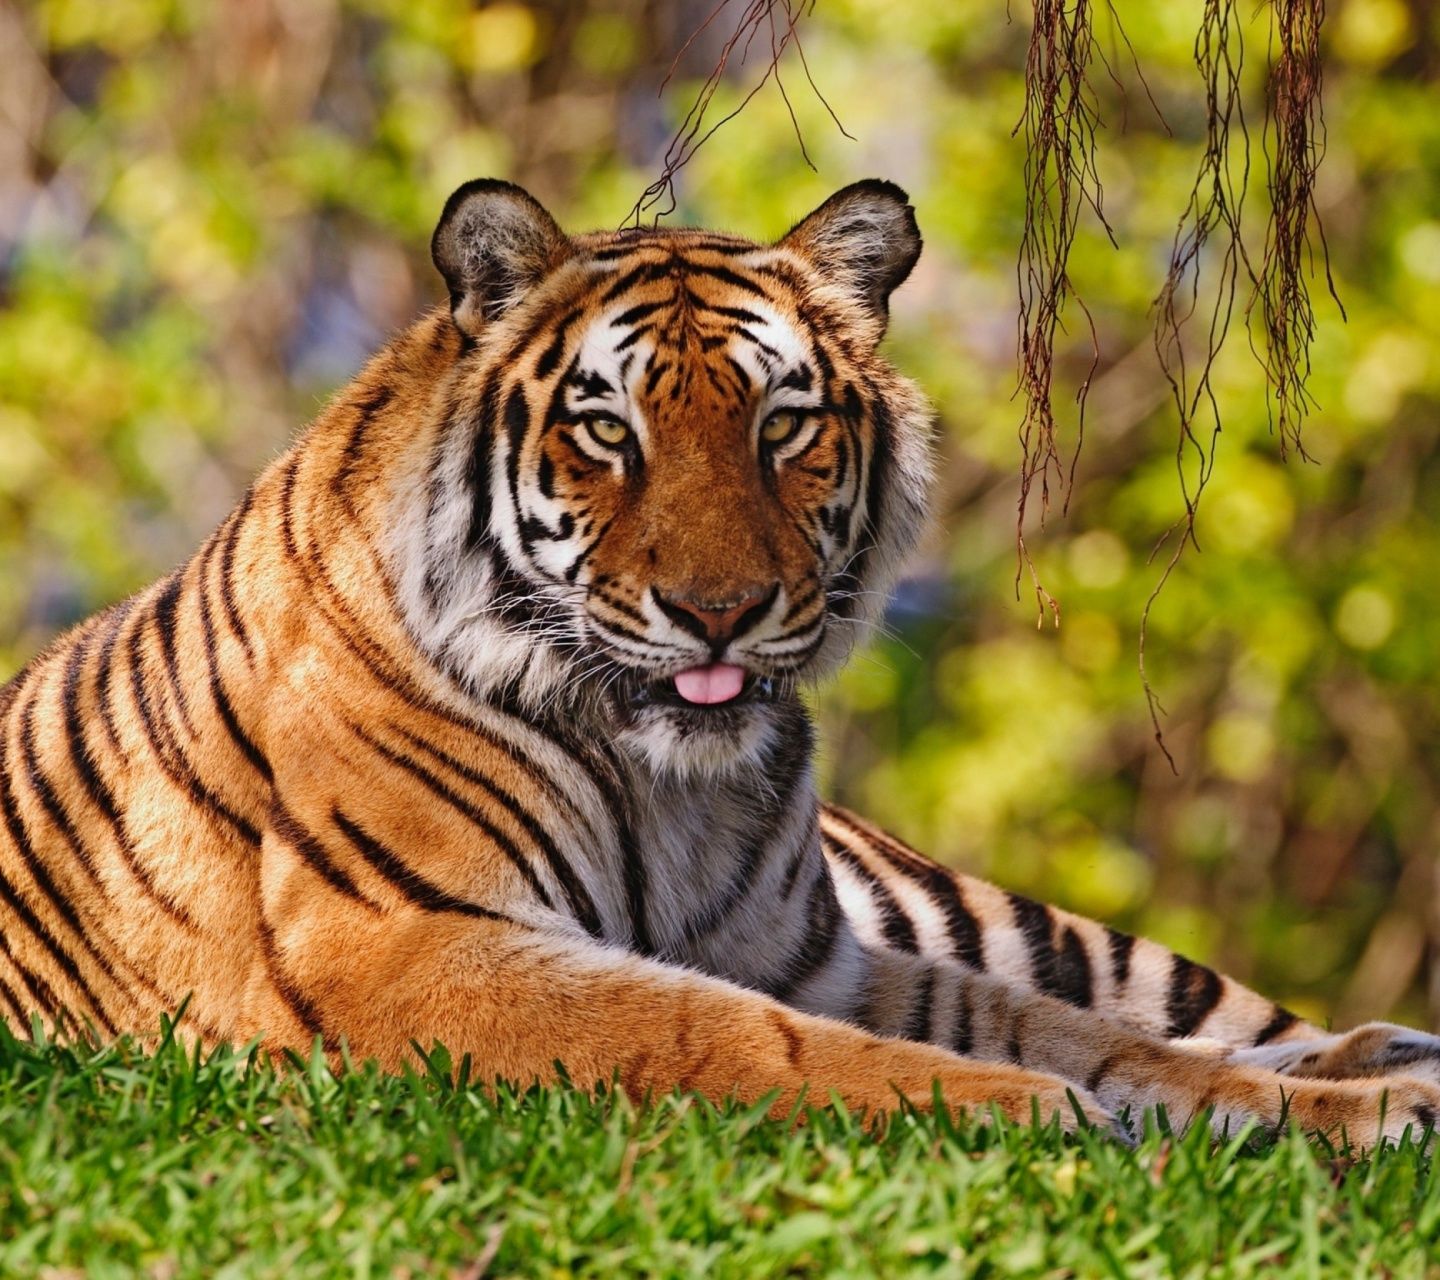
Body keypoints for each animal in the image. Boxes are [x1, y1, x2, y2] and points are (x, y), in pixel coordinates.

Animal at [2, 176, 1438, 1145]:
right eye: (607, 429)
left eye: (783, 424)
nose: (719, 610)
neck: (669, 782)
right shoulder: (406, 943)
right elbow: (738, 1034)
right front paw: (1036, 1111)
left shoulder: (818, 954)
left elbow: (1097, 1034)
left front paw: (1352, 1113)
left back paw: (1391, 1052)